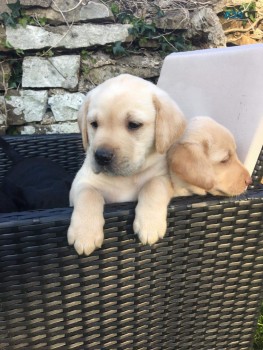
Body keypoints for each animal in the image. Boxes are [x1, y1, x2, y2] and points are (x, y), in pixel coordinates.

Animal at [69, 73, 187, 254]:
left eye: (134, 125)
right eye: (94, 124)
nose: (101, 156)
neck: (126, 178)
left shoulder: (162, 177)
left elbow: (153, 186)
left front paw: (150, 224)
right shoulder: (81, 181)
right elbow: (88, 194)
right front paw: (85, 233)